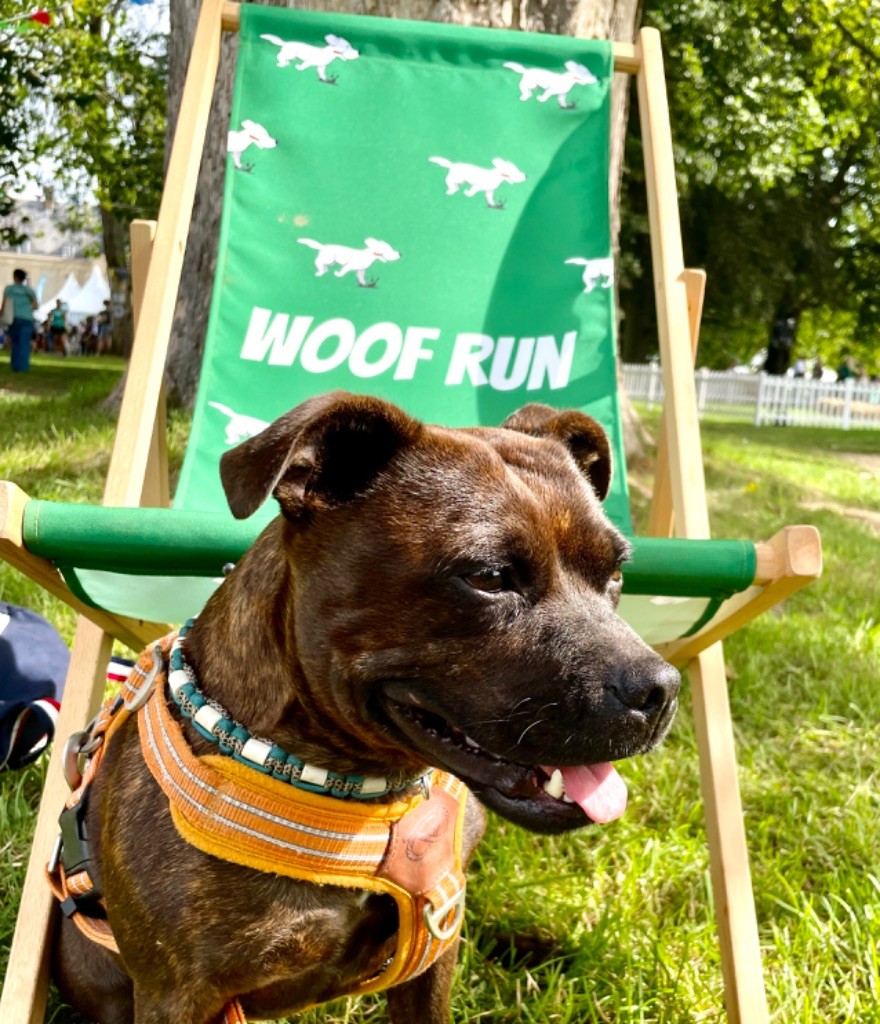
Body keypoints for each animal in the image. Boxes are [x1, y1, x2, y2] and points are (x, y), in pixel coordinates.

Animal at [51, 391, 676, 1024]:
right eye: (490, 577)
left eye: (616, 573)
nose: (661, 688)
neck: (360, 797)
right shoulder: (177, 994)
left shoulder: (438, 942)